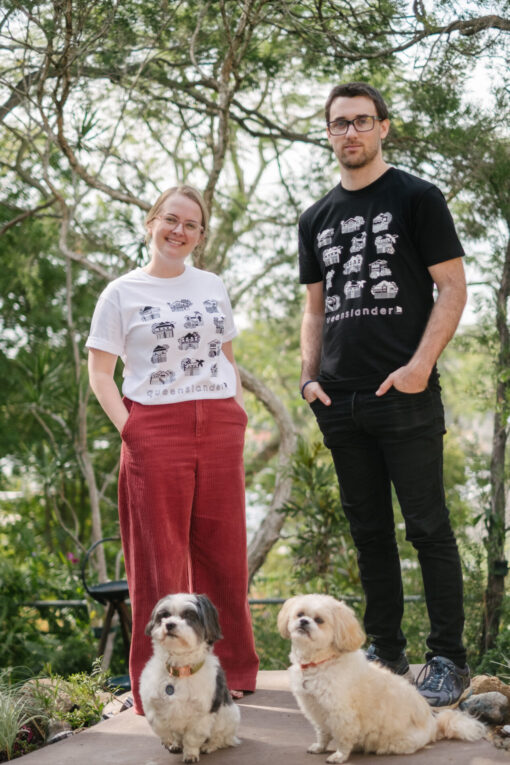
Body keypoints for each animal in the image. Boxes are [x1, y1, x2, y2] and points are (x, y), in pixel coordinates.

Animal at [139, 592, 241, 760]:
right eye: (164, 615)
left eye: (189, 616)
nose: (169, 624)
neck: (179, 670)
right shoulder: (151, 704)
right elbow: (159, 724)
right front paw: (168, 740)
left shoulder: (202, 714)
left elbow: (192, 737)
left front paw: (191, 754)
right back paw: (176, 744)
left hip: (226, 717)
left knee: (220, 738)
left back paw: (208, 746)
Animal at [278, 592, 486, 760]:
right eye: (300, 614)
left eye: (319, 620)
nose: (304, 622)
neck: (320, 661)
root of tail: (434, 726)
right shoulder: (314, 708)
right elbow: (322, 732)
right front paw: (320, 747)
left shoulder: (341, 713)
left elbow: (343, 737)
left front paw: (339, 755)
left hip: (395, 742)